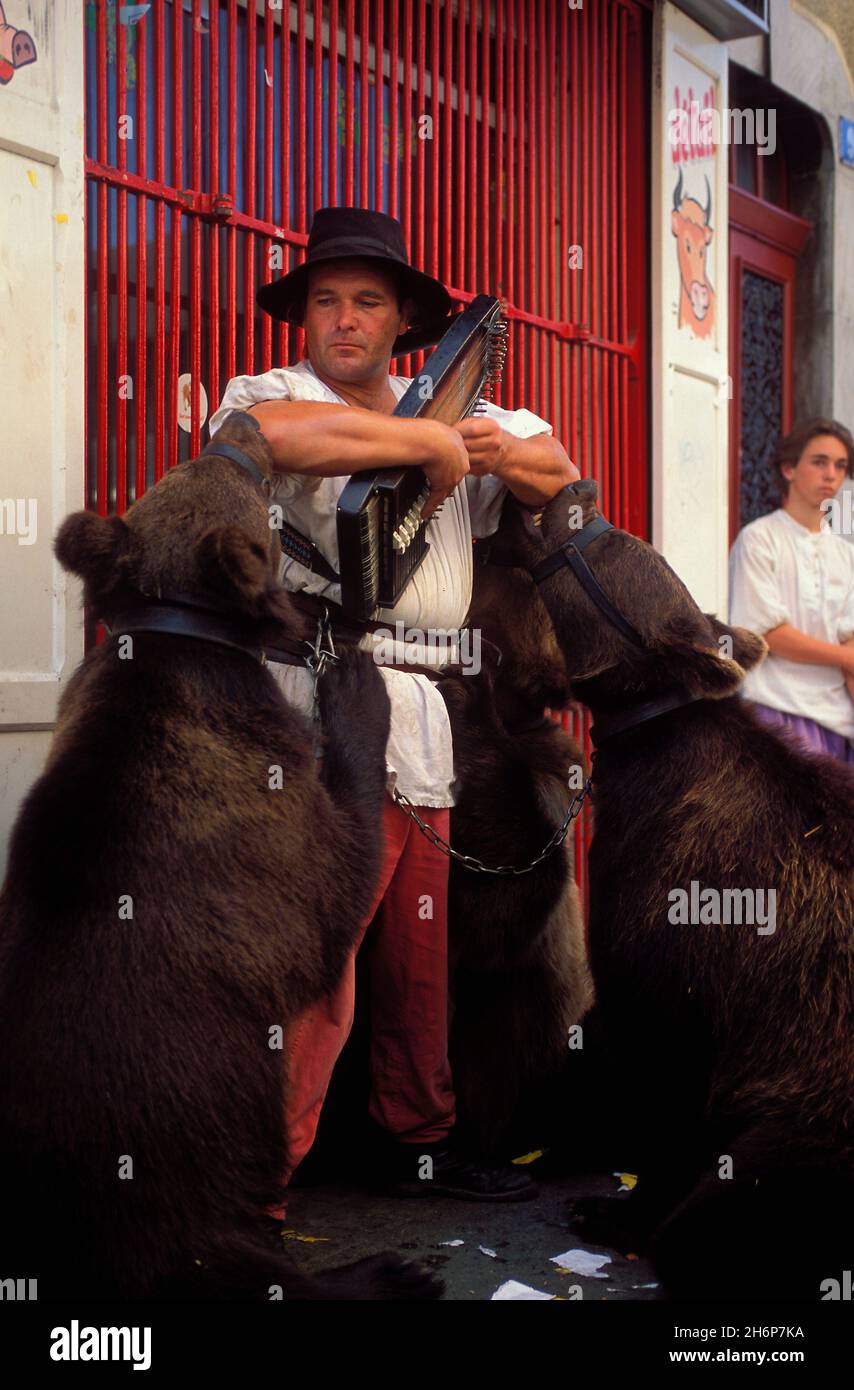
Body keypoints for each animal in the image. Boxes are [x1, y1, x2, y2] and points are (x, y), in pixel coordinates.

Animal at [0, 411, 442, 1301]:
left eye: (199, 459)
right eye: (238, 467)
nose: (240, 420)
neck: (184, 631)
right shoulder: (257, 819)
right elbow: (333, 886)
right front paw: (353, 684)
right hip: (187, 1158)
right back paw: (385, 1270)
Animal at [495, 480, 854, 1301]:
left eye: (606, 539)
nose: (576, 487)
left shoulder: (678, 948)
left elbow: (656, 1073)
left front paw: (614, 1207)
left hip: (815, 1127)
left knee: (724, 1225)